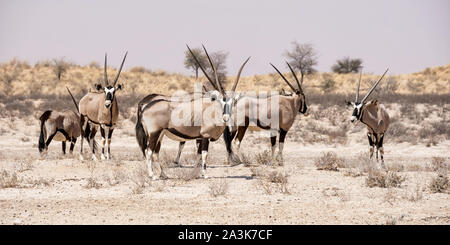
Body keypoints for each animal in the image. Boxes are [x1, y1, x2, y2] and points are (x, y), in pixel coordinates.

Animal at [136, 44, 250, 179]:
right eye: (221, 102)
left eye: (233, 103)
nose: (226, 118)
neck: (213, 111)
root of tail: (145, 107)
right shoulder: (205, 136)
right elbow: (204, 154)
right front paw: (205, 174)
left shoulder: (199, 138)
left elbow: (199, 154)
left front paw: (197, 172)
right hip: (154, 133)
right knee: (149, 151)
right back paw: (152, 175)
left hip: (160, 134)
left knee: (155, 152)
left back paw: (163, 174)